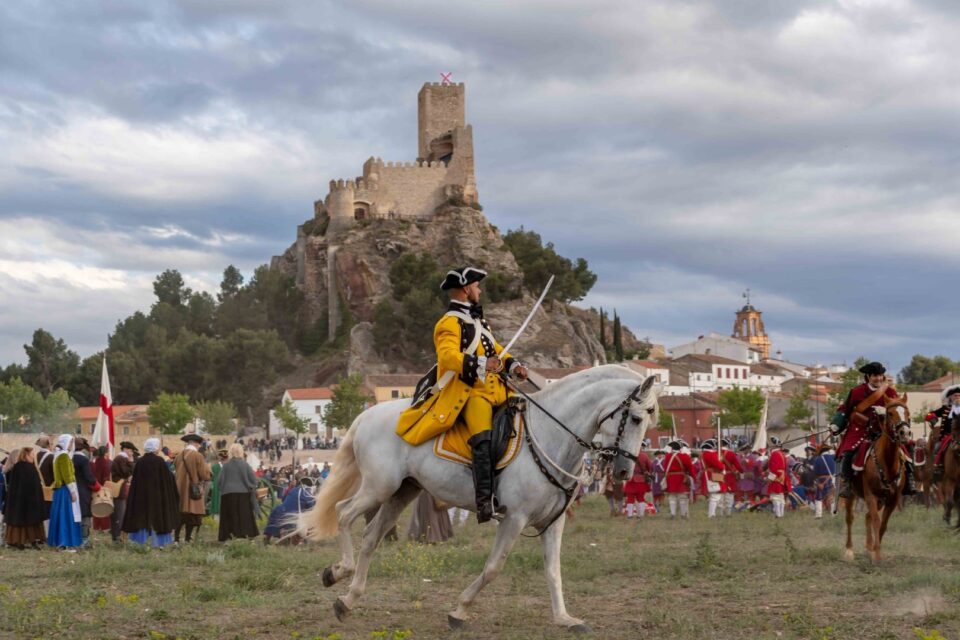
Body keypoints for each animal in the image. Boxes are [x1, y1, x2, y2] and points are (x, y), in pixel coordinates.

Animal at [300, 362, 660, 632]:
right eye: (637, 418)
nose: (625, 471)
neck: (550, 434)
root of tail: (367, 415)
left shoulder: (552, 523)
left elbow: (553, 571)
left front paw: (564, 618)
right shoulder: (514, 519)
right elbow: (493, 568)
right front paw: (459, 611)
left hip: (402, 492)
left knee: (371, 537)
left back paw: (348, 599)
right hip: (379, 487)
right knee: (343, 512)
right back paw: (338, 572)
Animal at [844, 392, 912, 564]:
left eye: (907, 413)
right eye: (890, 413)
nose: (905, 433)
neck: (887, 463)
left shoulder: (892, 499)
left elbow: (883, 525)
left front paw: (875, 551)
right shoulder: (871, 495)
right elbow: (876, 521)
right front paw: (877, 556)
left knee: (867, 516)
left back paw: (869, 548)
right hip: (851, 495)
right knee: (850, 518)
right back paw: (849, 550)